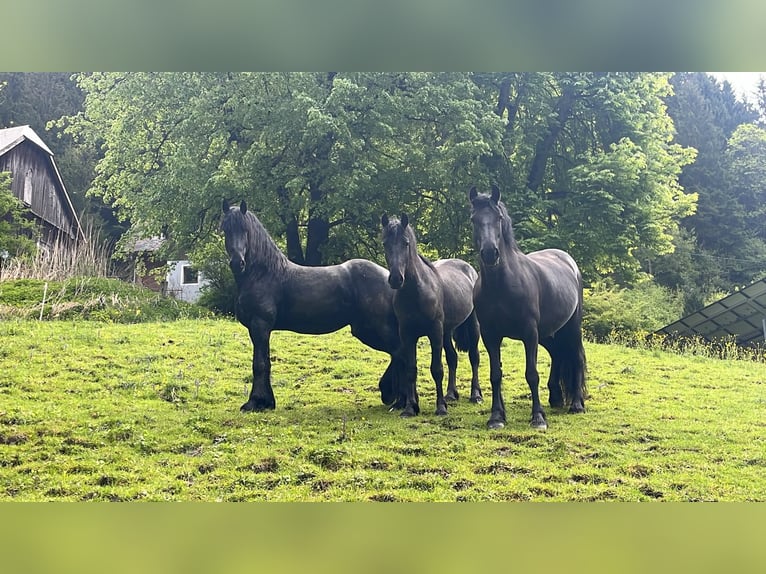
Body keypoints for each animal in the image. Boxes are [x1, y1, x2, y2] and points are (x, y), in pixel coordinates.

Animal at [221, 199, 404, 412]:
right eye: (226, 229)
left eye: (245, 230)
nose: (237, 263)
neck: (263, 274)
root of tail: (389, 278)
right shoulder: (260, 329)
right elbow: (265, 362)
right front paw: (267, 402)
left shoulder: (260, 325)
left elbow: (259, 364)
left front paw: (254, 402)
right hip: (365, 329)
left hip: (375, 328)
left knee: (399, 351)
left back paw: (398, 399)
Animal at [380, 212, 482, 417]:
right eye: (385, 243)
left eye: (405, 243)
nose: (396, 279)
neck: (416, 291)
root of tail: (468, 268)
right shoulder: (407, 335)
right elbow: (411, 369)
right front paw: (410, 408)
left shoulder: (434, 332)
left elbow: (437, 369)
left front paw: (440, 407)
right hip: (446, 332)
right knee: (453, 358)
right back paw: (451, 394)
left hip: (471, 325)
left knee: (474, 357)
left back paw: (475, 395)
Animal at [468, 185, 587, 430]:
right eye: (474, 219)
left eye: (498, 217)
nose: (490, 253)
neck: (502, 285)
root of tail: (568, 260)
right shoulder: (490, 335)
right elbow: (495, 374)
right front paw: (496, 417)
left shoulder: (529, 333)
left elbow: (532, 373)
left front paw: (538, 417)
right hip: (549, 334)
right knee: (557, 355)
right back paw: (556, 398)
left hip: (571, 328)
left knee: (577, 357)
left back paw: (577, 405)